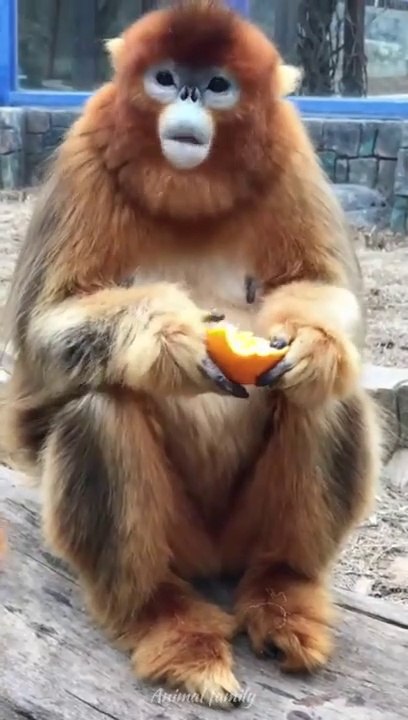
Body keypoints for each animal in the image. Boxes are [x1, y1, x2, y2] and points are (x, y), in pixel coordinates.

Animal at [3, 0, 382, 709]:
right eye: (166, 76)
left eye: (216, 86)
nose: (186, 97)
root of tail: (211, 560)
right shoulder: (85, 155)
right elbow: (44, 326)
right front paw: (168, 343)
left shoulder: (291, 158)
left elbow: (324, 289)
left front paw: (314, 344)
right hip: (179, 537)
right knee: (100, 408)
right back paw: (165, 621)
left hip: (240, 532)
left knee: (324, 400)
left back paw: (283, 595)